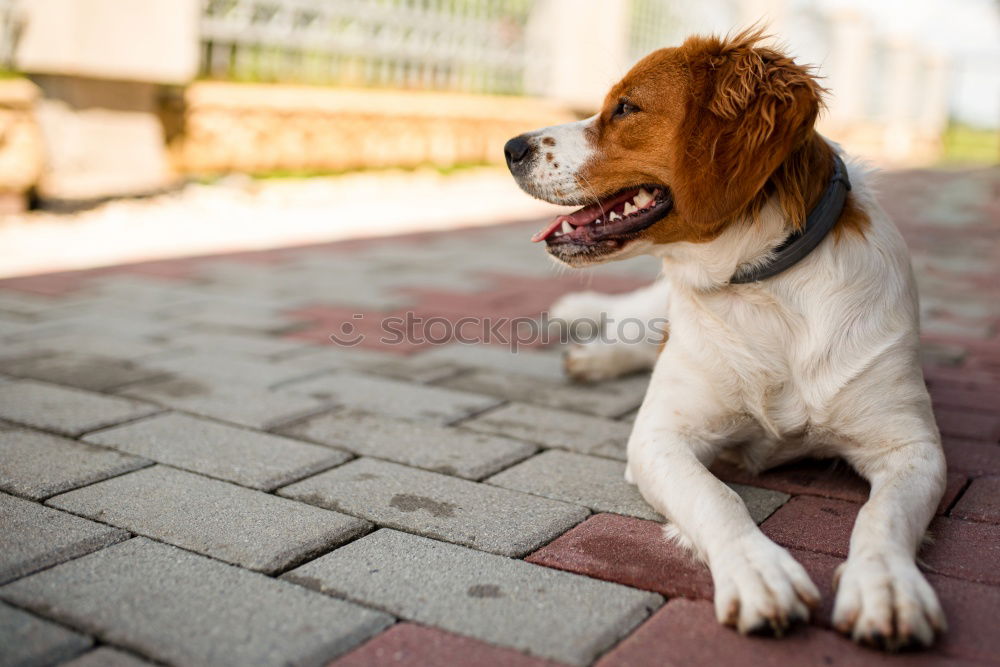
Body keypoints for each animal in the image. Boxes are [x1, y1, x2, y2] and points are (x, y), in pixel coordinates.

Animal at [504, 28, 948, 648]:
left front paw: (886, 587)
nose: (510, 146)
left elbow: (881, 517)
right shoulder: (659, 438)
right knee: (633, 317)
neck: (764, 288)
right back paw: (589, 342)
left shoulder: (912, 448)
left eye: (626, 107)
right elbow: (719, 497)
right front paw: (759, 572)